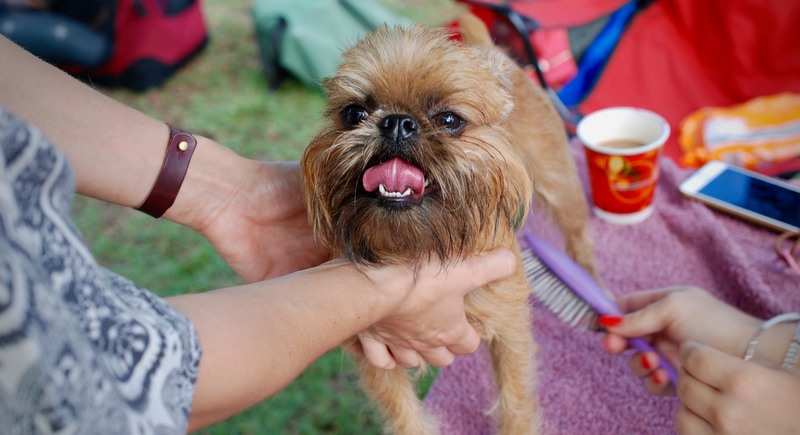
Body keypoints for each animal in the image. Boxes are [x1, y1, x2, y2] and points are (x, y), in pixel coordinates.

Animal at [304, 13, 596, 435]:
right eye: (353, 114)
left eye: (449, 120)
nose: (397, 123)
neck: (420, 250)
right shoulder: (376, 353)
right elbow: (403, 413)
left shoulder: (510, 330)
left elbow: (515, 400)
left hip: (559, 185)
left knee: (580, 240)